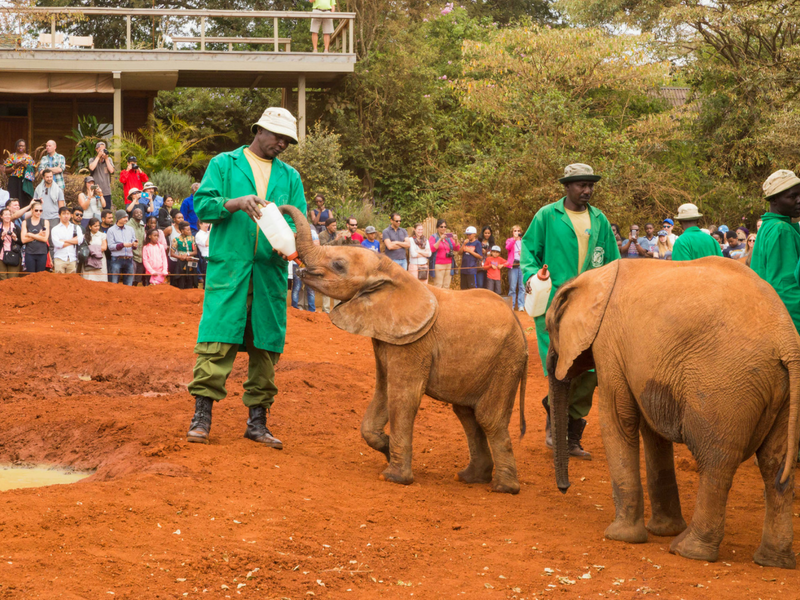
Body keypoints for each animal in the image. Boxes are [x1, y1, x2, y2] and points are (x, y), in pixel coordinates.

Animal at [278, 206, 528, 492]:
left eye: (339, 265)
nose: (276, 207)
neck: (392, 273)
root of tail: (519, 325)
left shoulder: (413, 343)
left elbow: (402, 396)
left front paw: (393, 477)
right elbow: (384, 391)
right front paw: (386, 448)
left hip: (507, 360)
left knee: (488, 417)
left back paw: (504, 488)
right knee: (468, 414)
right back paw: (470, 478)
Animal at [548, 256, 800, 568]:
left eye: (549, 329)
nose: (564, 488)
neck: (593, 277)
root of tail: (787, 340)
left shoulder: (609, 343)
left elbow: (618, 418)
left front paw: (620, 536)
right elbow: (652, 432)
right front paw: (663, 530)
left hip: (725, 387)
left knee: (716, 462)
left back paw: (688, 551)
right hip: (781, 392)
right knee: (774, 466)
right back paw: (773, 561)